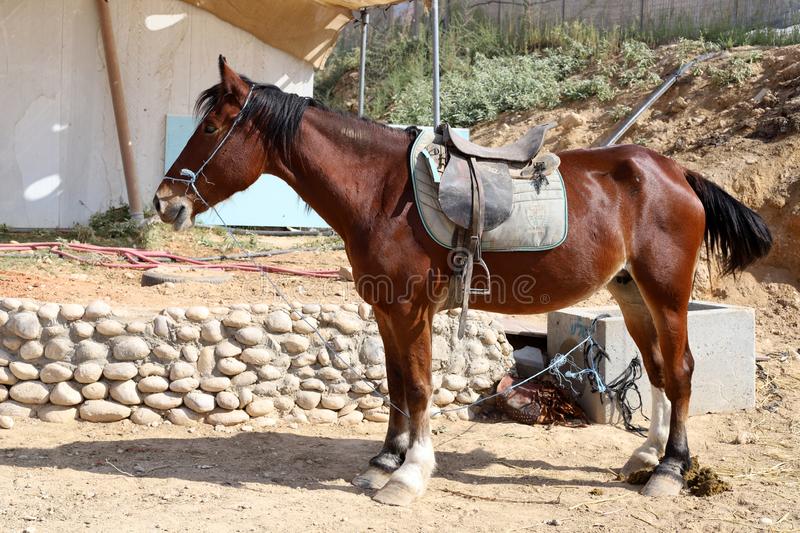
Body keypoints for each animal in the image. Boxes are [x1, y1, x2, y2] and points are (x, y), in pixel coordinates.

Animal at [153, 58, 772, 502]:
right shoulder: (387, 310)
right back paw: (646, 457)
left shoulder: (410, 310)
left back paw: (671, 469)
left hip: (666, 292)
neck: (382, 192)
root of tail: (676, 171)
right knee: (661, 371)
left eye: (212, 127)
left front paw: (409, 475)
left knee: (682, 370)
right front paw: (384, 462)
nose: (164, 202)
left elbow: (419, 388)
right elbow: (396, 385)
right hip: (632, 294)